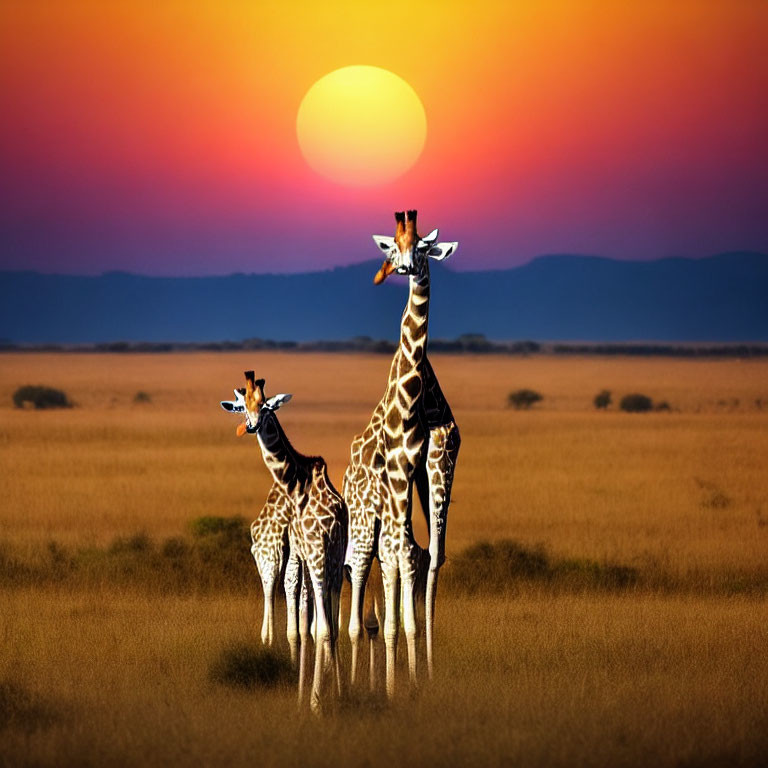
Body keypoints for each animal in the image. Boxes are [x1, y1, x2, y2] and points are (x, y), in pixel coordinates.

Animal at [219, 372, 344, 712]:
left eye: (265, 407)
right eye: (242, 406)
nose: (251, 426)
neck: (296, 483)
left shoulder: (310, 551)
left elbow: (311, 626)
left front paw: (313, 699)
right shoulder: (307, 554)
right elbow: (306, 626)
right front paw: (311, 691)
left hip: (319, 558)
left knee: (320, 626)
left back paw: (317, 701)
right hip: (330, 560)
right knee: (325, 626)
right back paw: (334, 691)